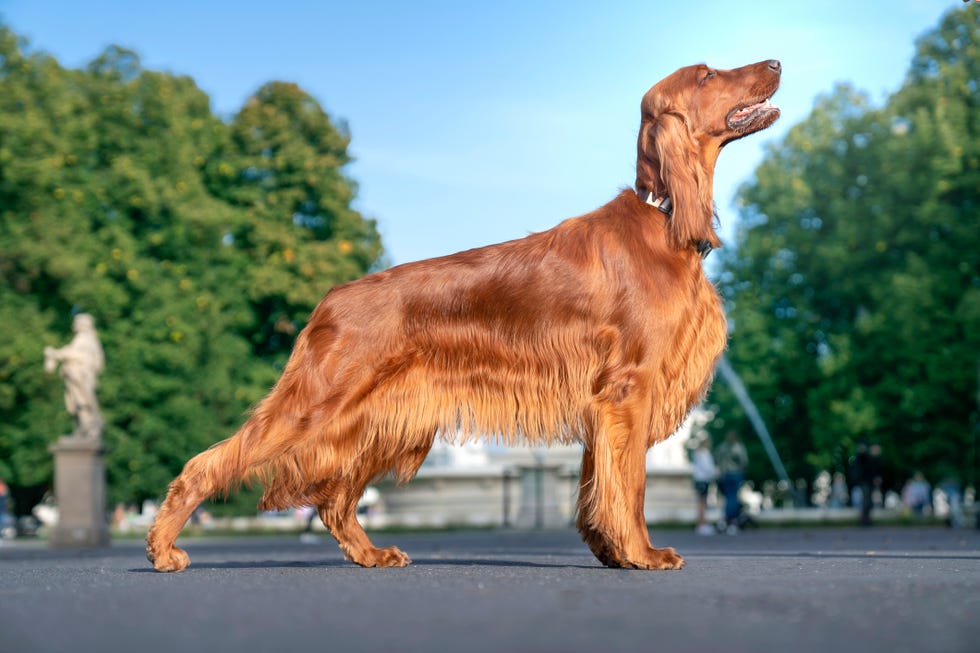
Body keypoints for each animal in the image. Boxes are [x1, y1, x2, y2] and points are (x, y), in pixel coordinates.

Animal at [147, 59, 780, 572]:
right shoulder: (630, 387)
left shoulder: (601, 400)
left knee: (333, 501)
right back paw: (162, 548)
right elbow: (632, 484)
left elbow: (598, 484)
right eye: (707, 74)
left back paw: (371, 554)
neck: (664, 215)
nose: (775, 62)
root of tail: (331, 298)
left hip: (381, 418)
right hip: (319, 405)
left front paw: (611, 551)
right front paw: (643, 553)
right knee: (212, 463)